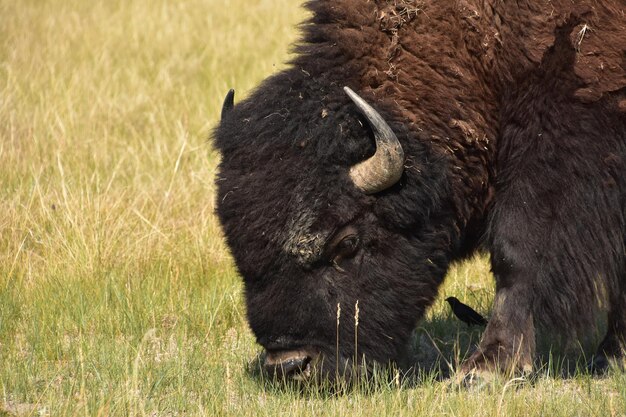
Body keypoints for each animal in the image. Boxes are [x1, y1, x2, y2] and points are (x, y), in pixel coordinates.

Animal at [212, 0, 620, 378]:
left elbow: (516, 252)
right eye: (238, 250)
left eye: (347, 242)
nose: (290, 364)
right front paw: (610, 355)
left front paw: (485, 369)